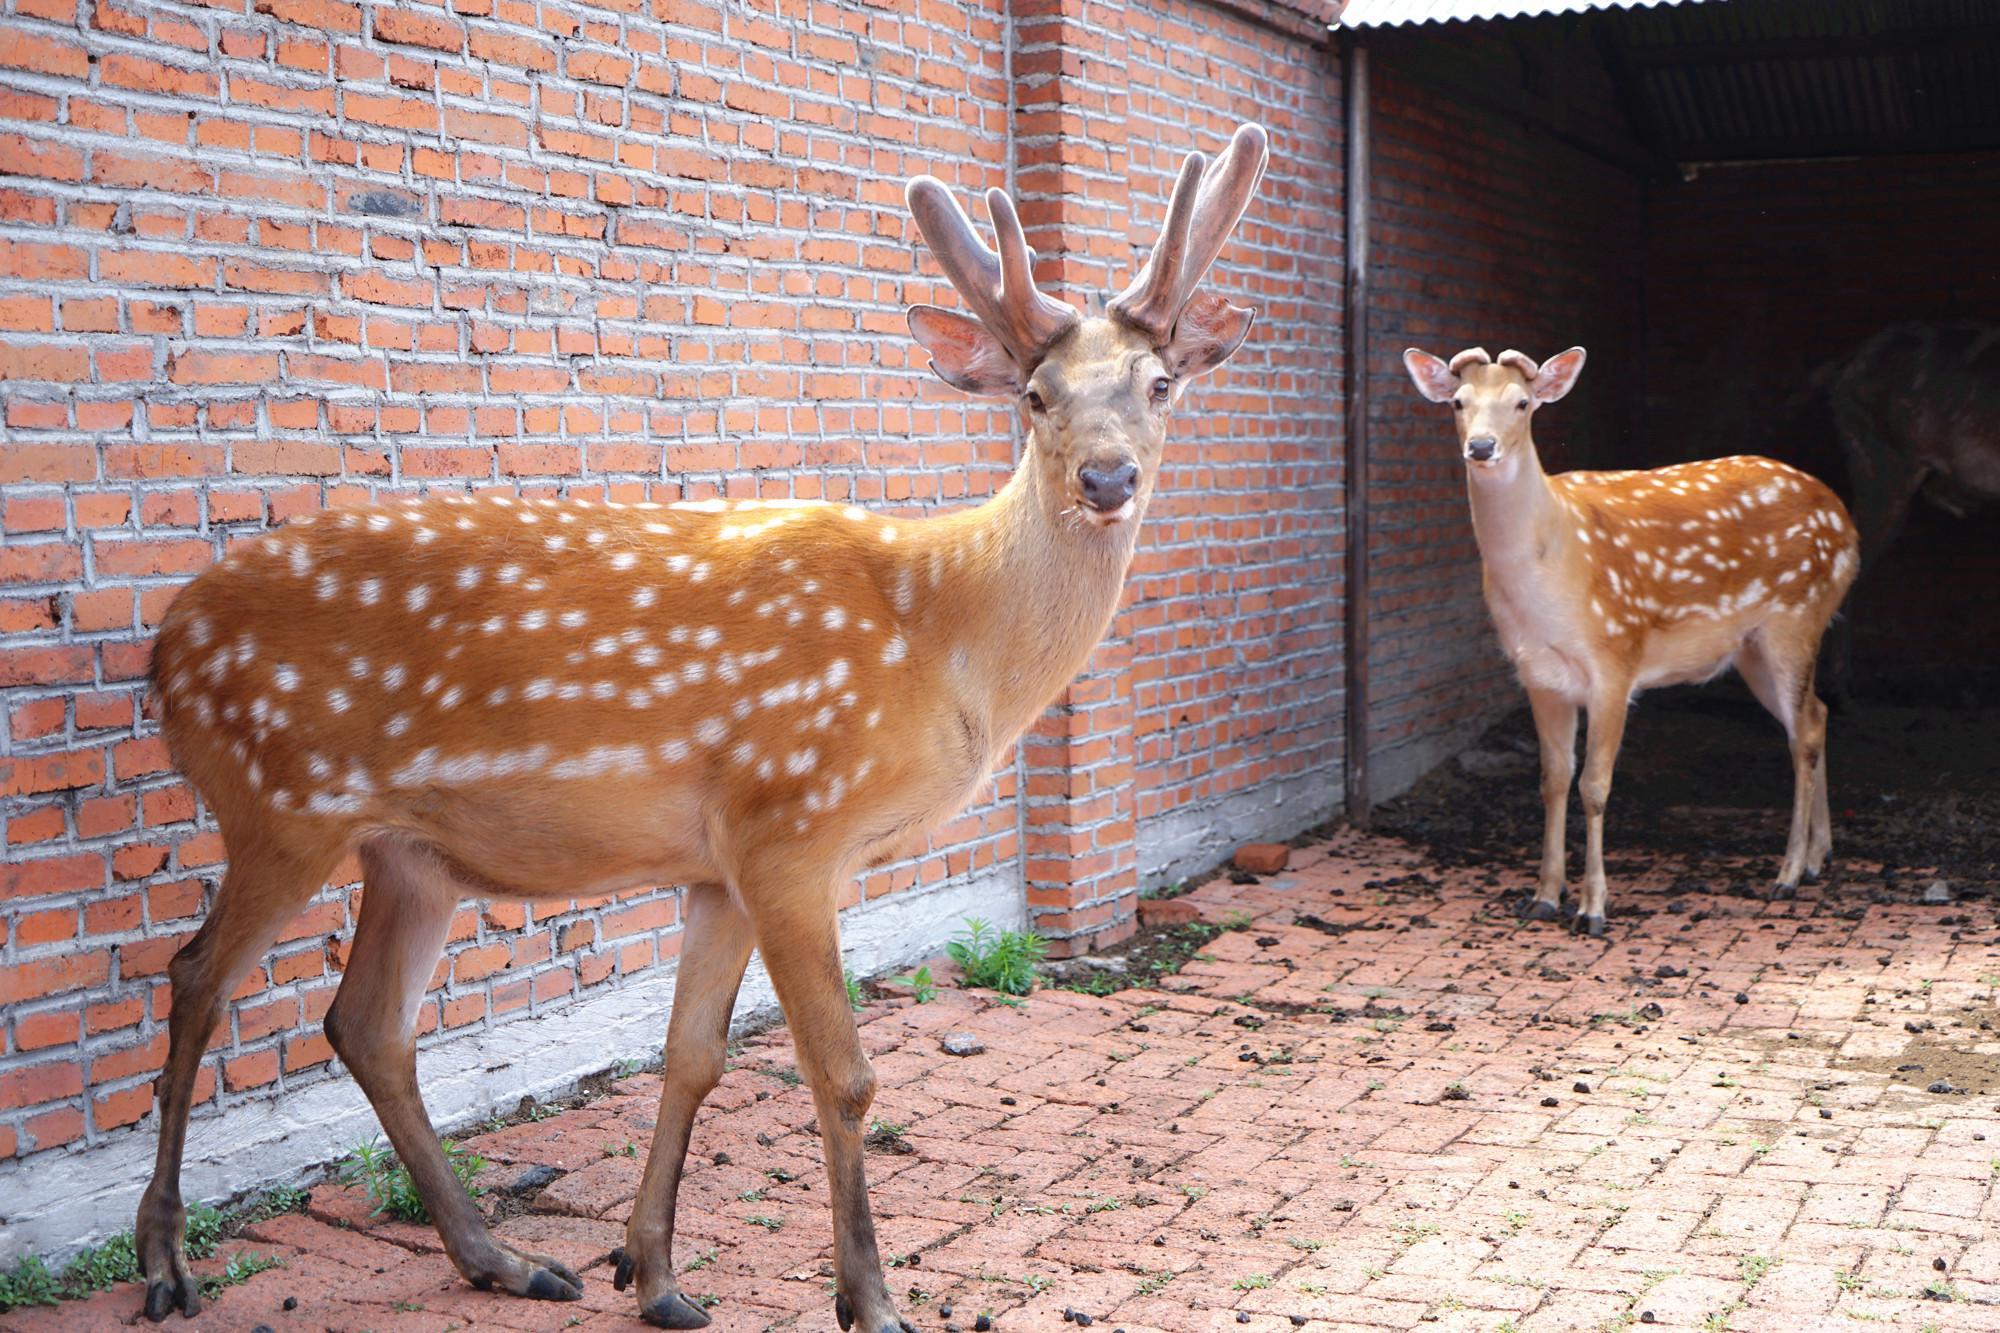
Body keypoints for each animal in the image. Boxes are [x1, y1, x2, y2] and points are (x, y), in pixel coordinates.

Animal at [137, 124, 1264, 1328]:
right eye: (1037, 395)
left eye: (1160, 383)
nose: (1108, 478)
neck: (941, 642)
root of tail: (165, 649)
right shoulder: (790, 822)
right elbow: (841, 1071)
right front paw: (869, 1299)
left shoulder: (718, 859)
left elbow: (692, 1056)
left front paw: (654, 1272)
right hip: (280, 798)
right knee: (197, 975)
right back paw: (167, 1262)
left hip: (410, 853)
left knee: (366, 1023)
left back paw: (502, 1257)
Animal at [1408, 340, 1856, 932]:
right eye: (1458, 402)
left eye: (1522, 403)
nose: (1481, 447)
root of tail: (1848, 525)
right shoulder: (1537, 675)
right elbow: (1553, 780)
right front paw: (1543, 896)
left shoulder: (1615, 658)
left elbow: (1594, 786)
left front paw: (1593, 908)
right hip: (1752, 648)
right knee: (1817, 715)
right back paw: (1816, 857)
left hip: (1798, 615)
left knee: (1802, 731)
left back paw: (1786, 874)